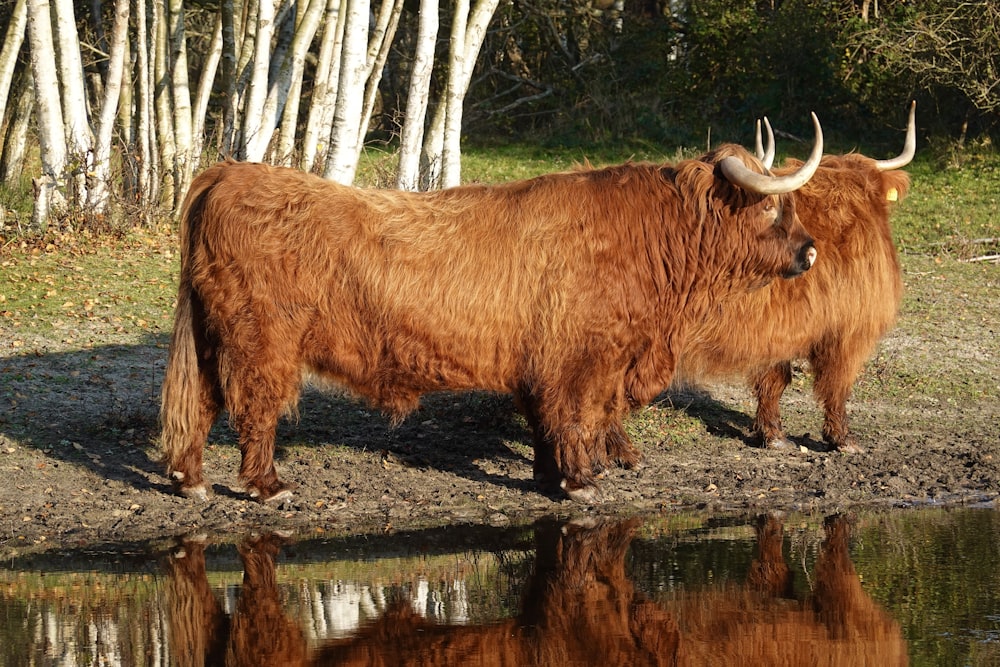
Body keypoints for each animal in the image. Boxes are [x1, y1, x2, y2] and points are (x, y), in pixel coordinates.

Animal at [162, 121, 820, 506]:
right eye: (771, 207)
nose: (810, 250)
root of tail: (226, 173)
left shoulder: (541, 363)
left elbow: (546, 425)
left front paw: (549, 479)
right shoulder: (581, 359)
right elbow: (575, 418)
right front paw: (583, 483)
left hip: (212, 335)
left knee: (201, 402)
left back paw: (192, 480)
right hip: (259, 340)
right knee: (253, 407)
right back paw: (266, 486)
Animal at [668, 103, 916, 454]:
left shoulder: (780, 328)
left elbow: (775, 380)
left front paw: (771, 433)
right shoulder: (849, 328)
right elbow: (837, 383)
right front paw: (842, 438)